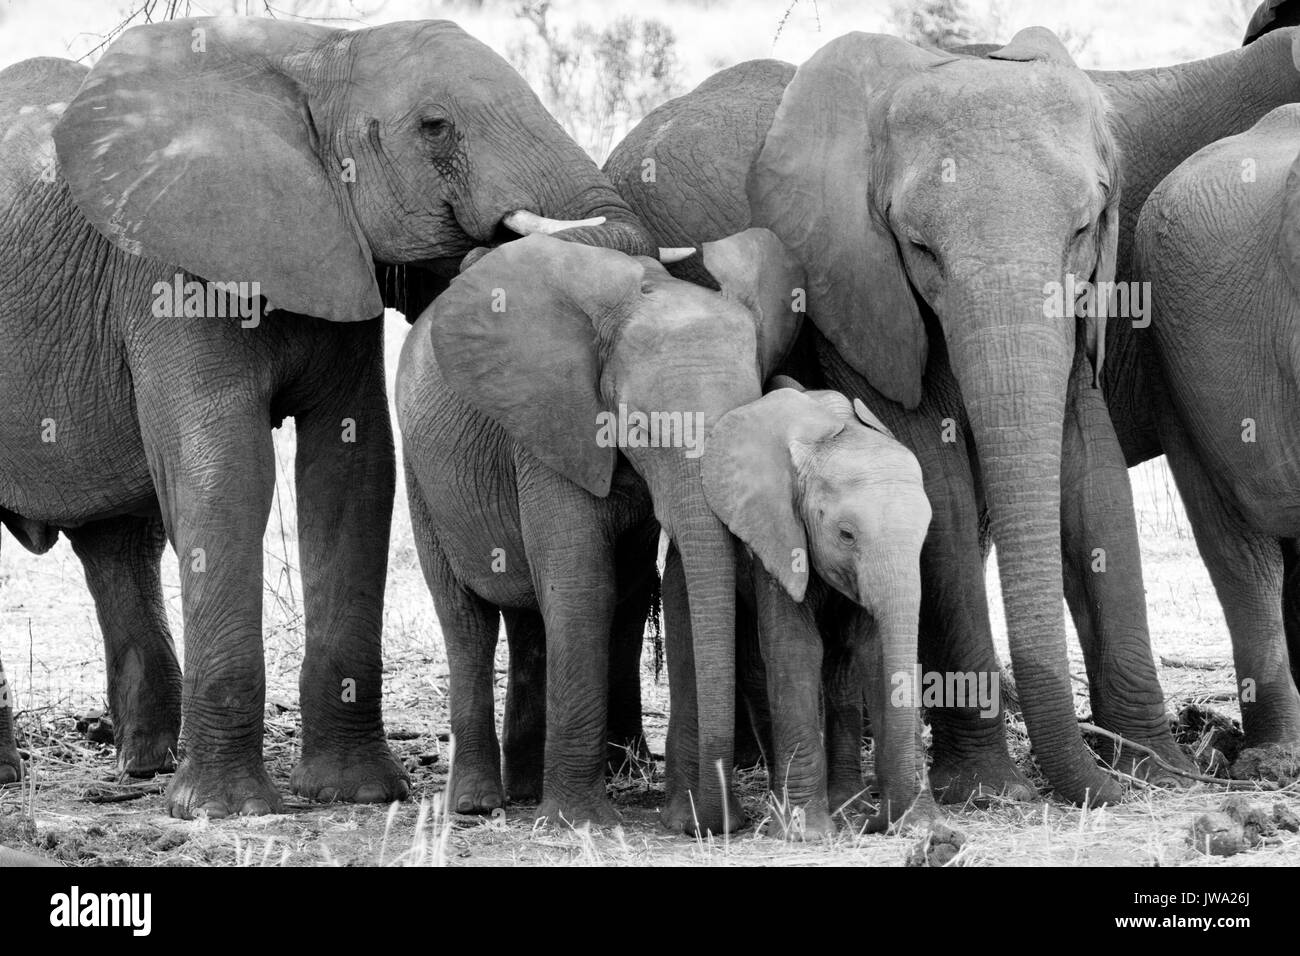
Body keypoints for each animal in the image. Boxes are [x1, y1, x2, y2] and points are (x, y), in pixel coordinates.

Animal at [0, 16, 670, 816]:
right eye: (435, 127)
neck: (318, 53)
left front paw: (357, 793)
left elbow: (354, 463)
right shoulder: (171, 265)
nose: (485, 256)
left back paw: (146, 766)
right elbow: (225, 468)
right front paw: (226, 811)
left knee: (121, 544)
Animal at [702, 382, 935, 837]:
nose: (878, 822)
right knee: (758, 666)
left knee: (841, 668)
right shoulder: (775, 534)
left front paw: (918, 823)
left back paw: (848, 803)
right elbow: (795, 648)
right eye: (846, 534)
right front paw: (804, 833)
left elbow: (873, 652)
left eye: (924, 533)